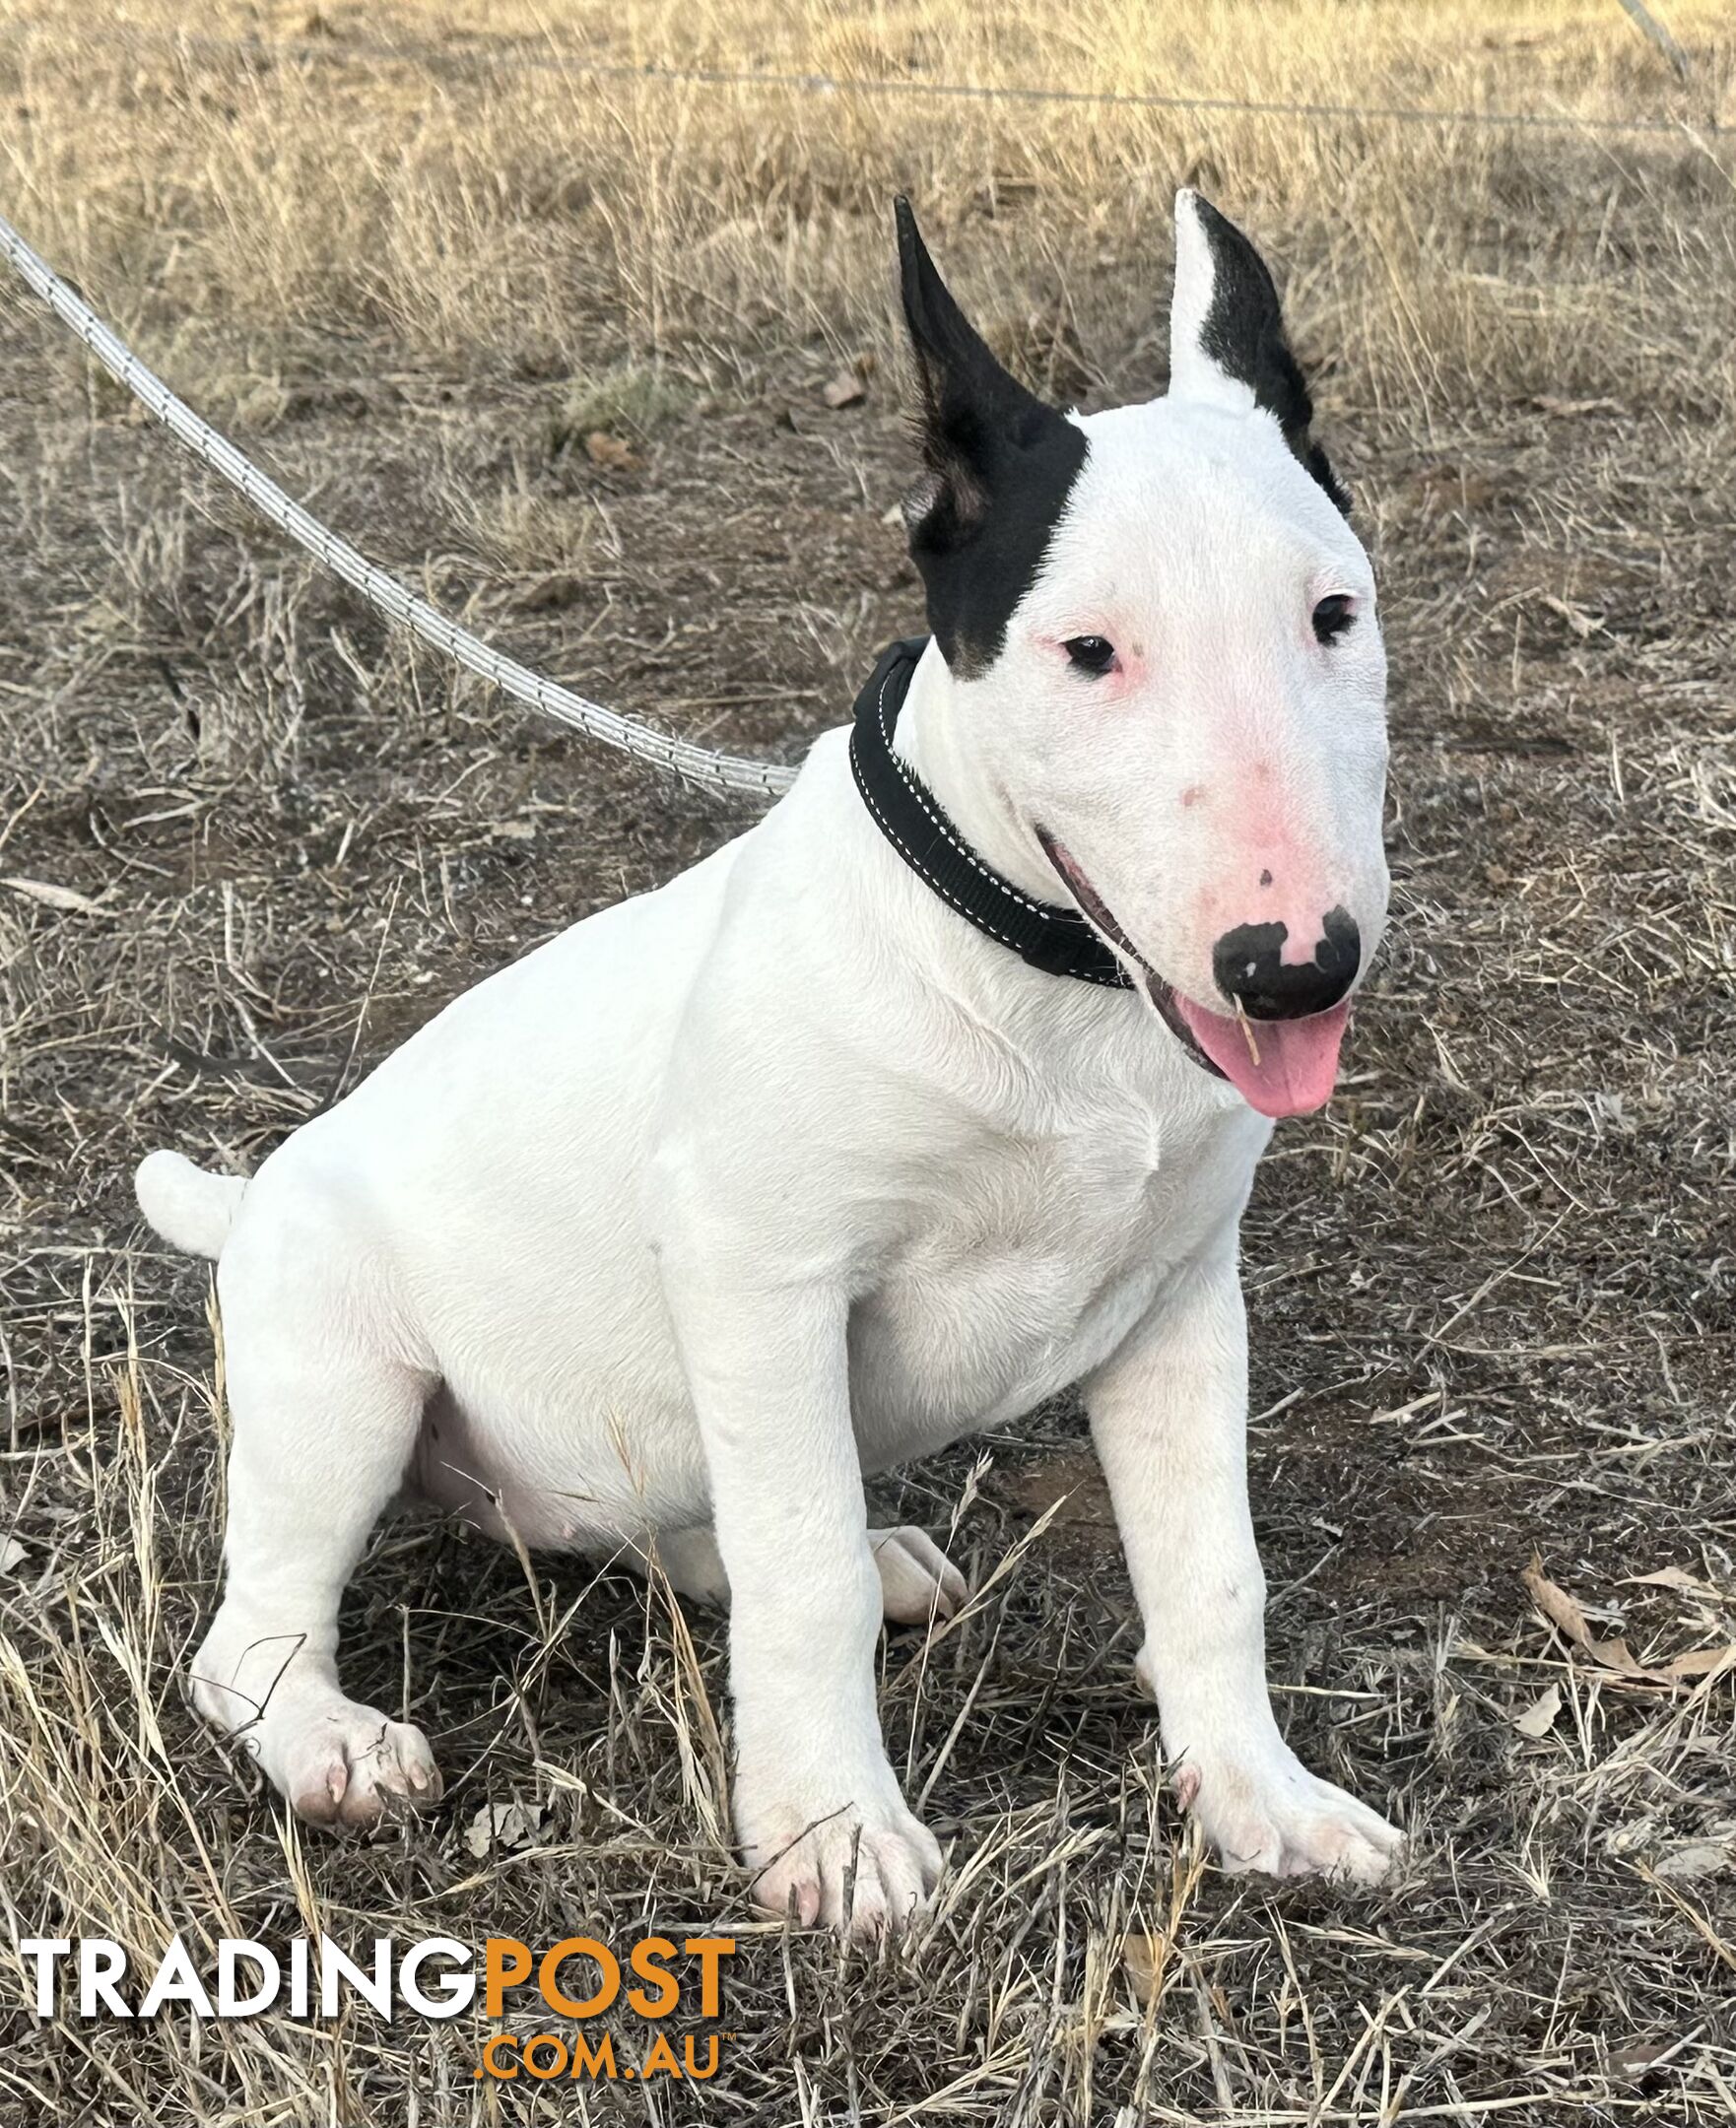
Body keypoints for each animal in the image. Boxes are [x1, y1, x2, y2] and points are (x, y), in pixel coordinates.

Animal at [139, 191, 1412, 1940]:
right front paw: (830, 1834)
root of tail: (250, 1200)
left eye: (1332, 615)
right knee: (250, 1630)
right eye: (1086, 651)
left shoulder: (1178, 1305)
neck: (1043, 979)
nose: (1294, 965)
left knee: (656, 1524)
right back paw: (330, 1742)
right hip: (343, 1382)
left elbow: (1210, 1565)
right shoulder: (763, 1275)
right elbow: (799, 1577)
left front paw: (1257, 1801)